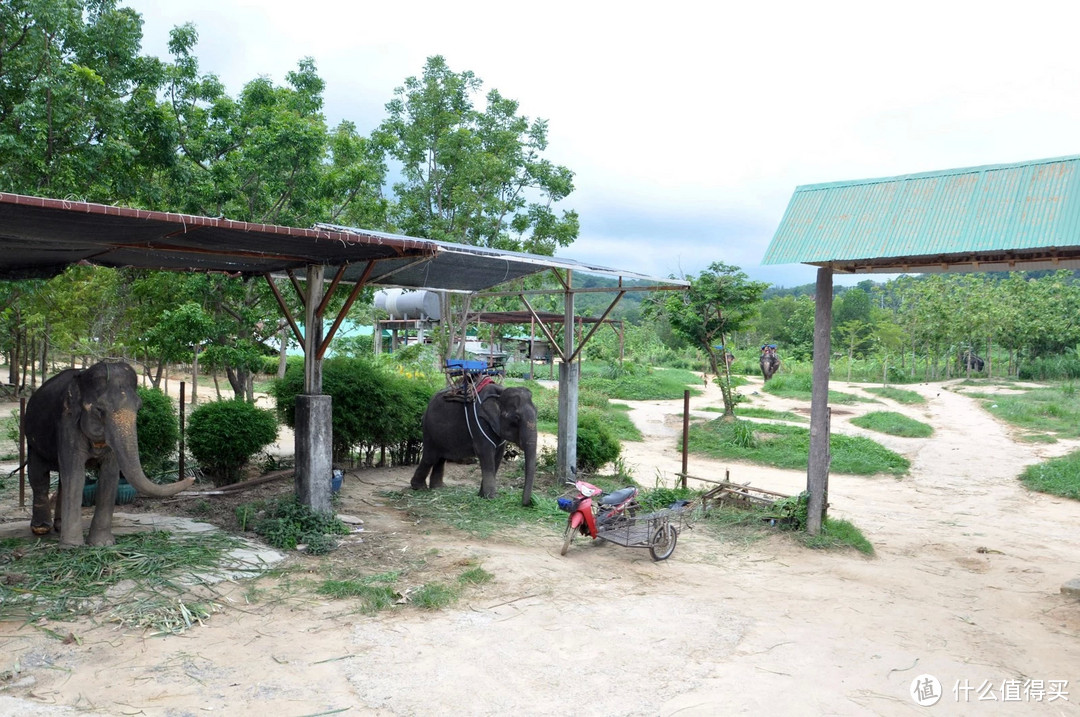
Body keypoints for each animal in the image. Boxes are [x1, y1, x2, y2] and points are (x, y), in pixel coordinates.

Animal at [24, 360, 194, 546]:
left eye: (139, 407)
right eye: (99, 410)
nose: (192, 478)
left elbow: (109, 474)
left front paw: (102, 544)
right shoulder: (66, 424)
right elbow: (76, 474)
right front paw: (71, 546)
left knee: (61, 478)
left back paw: (59, 527)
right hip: (31, 439)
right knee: (39, 477)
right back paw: (41, 529)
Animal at [406, 384, 537, 507]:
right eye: (516, 418)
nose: (529, 503)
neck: (499, 394)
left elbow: (498, 457)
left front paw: (482, 496)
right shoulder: (479, 423)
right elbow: (485, 453)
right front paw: (491, 498)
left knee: (441, 458)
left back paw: (439, 488)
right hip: (429, 429)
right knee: (430, 457)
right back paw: (419, 488)